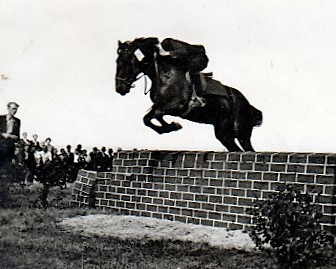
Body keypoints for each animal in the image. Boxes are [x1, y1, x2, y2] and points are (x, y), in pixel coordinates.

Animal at [115, 37, 262, 151]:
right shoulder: (161, 106)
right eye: (117, 61)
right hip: (224, 134)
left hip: (242, 133)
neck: (164, 75)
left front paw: (173, 126)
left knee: (248, 150)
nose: (119, 89)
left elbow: (157, 114)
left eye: (125, 61)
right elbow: (147, 118)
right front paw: (169, 127)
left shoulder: (177, 106)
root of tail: (248, 104)